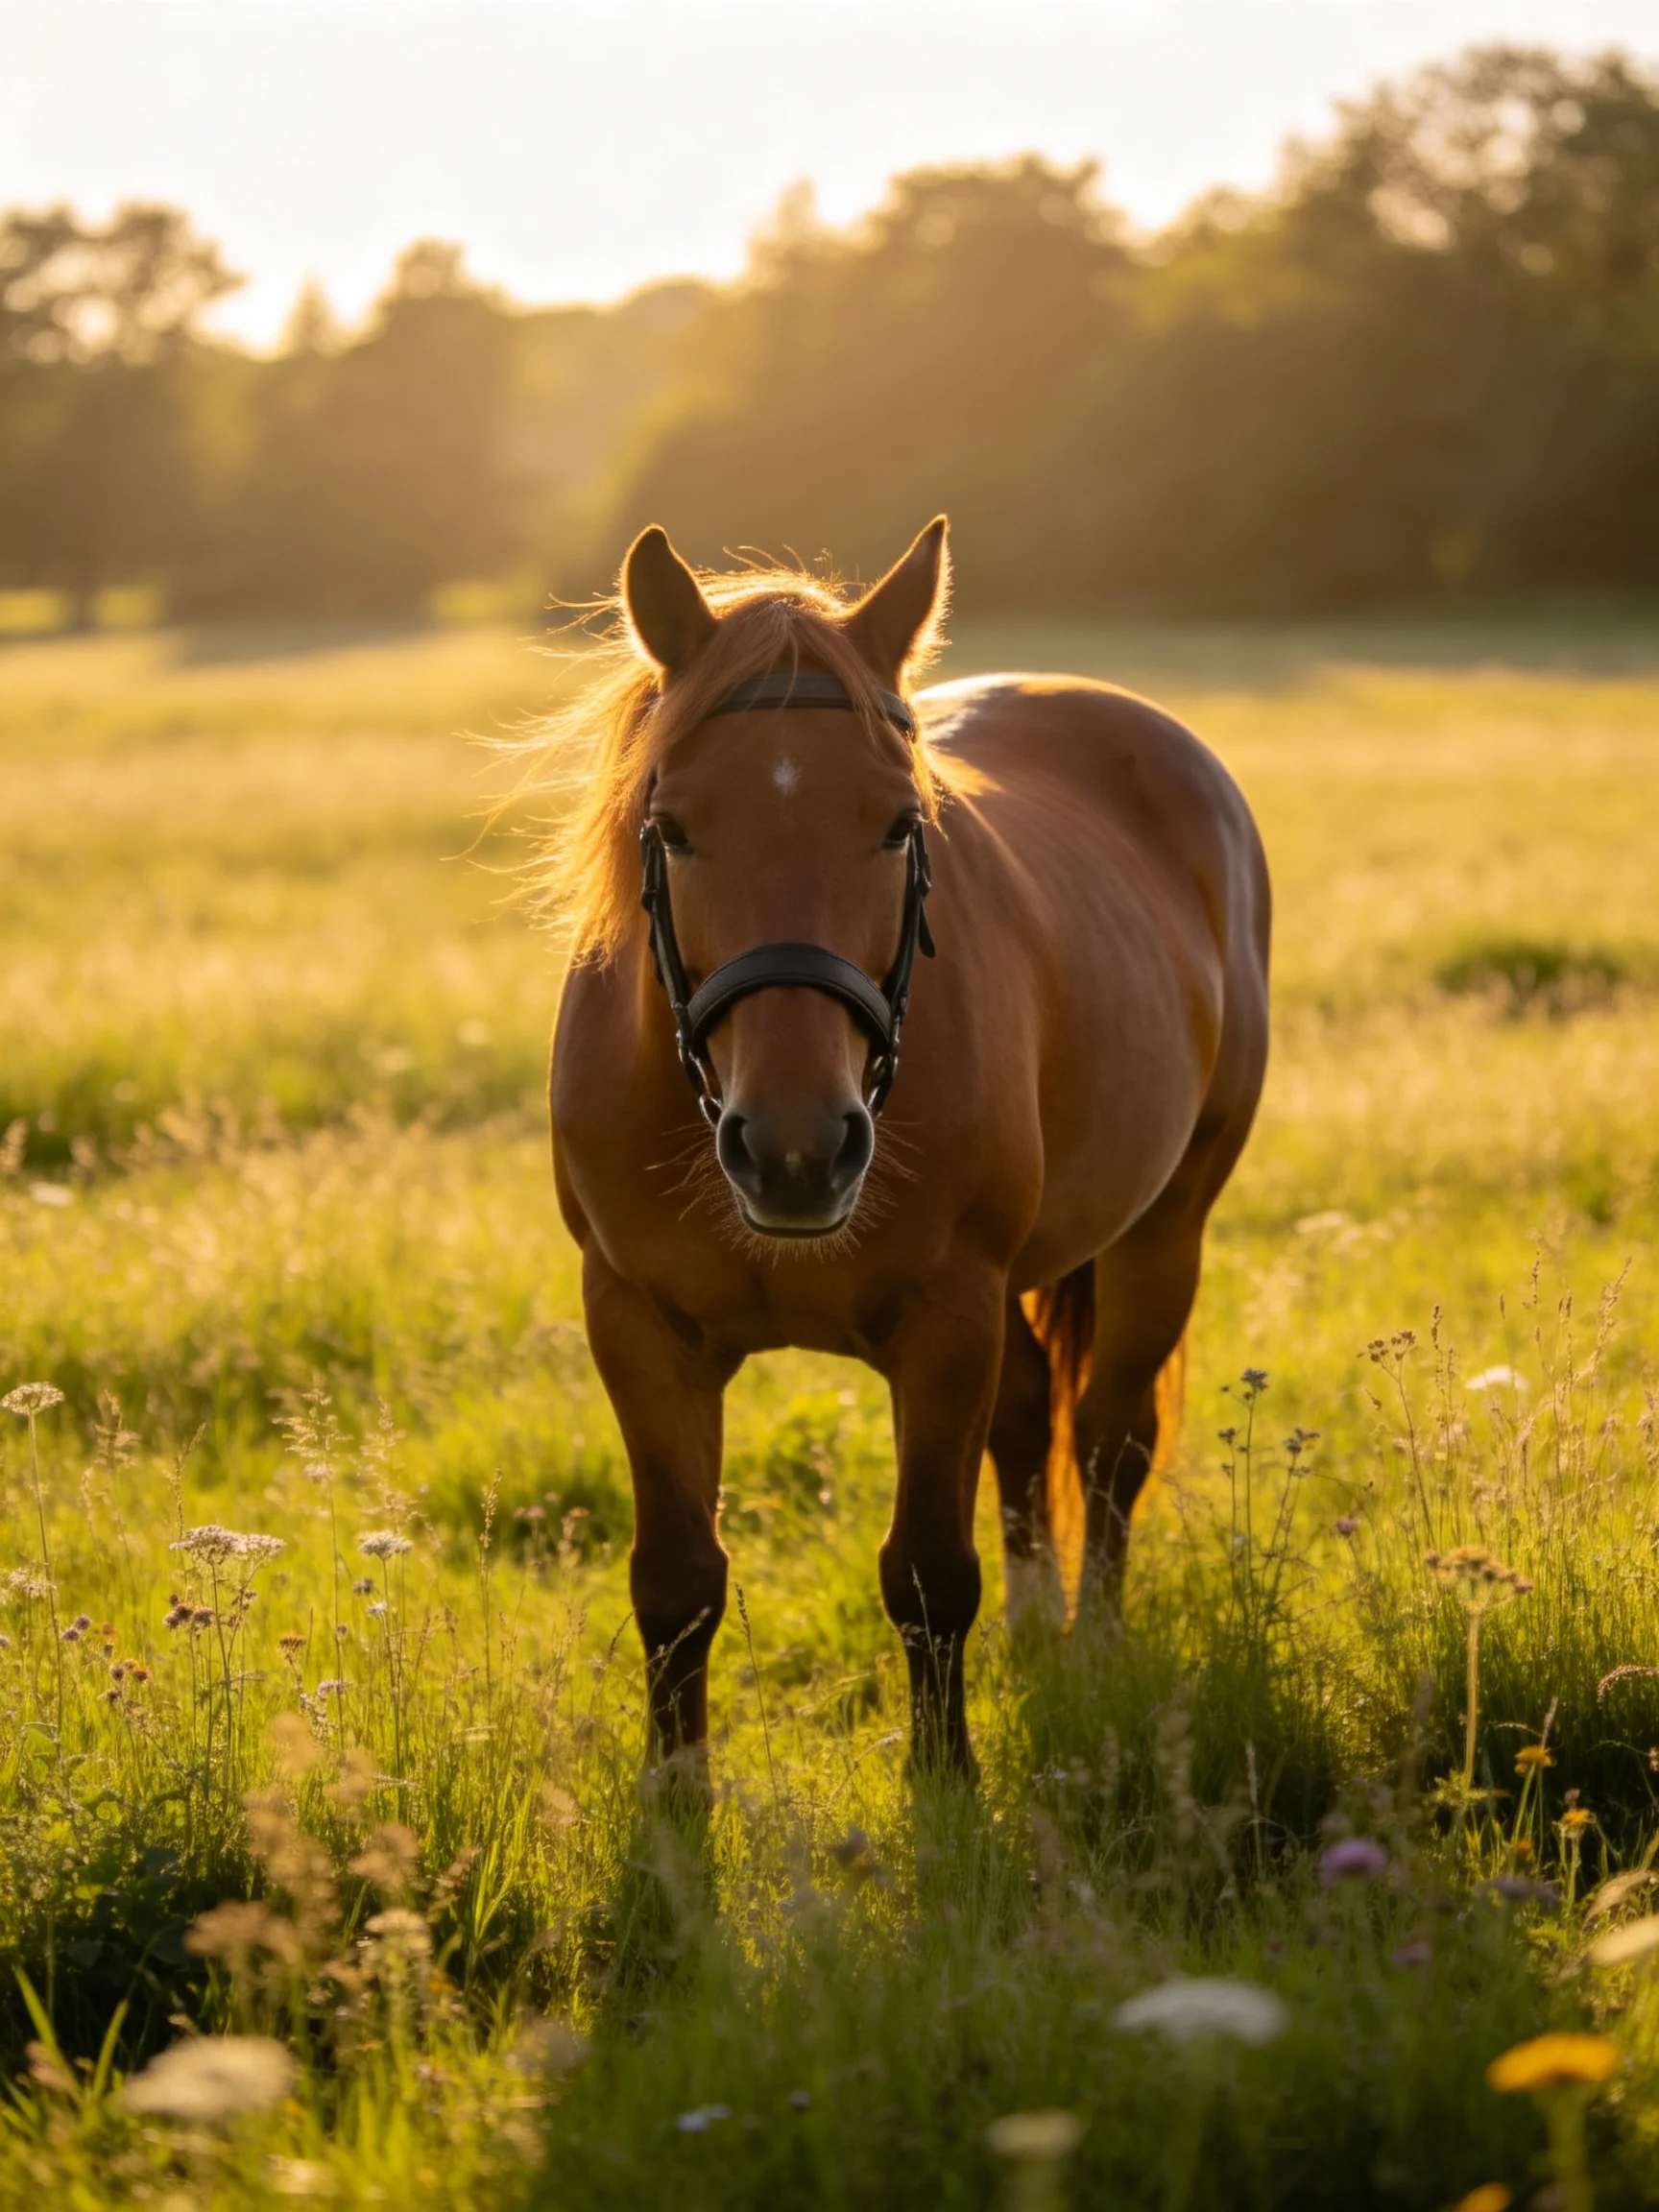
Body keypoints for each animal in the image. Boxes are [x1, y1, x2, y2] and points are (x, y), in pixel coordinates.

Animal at [543, 517, 1270, 1777]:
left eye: (897, 823)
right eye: (672, 828)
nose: (795, 1148)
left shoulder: (948, 1315)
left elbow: (929, 1574)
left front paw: (947, 1795)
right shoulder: (637, 1324)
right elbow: (677, 1585)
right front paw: (673, 1807)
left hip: (1166, 1225)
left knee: (1108, 1439)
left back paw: (1092, 1649)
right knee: (1030, 1423)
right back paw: (1036, 1631)